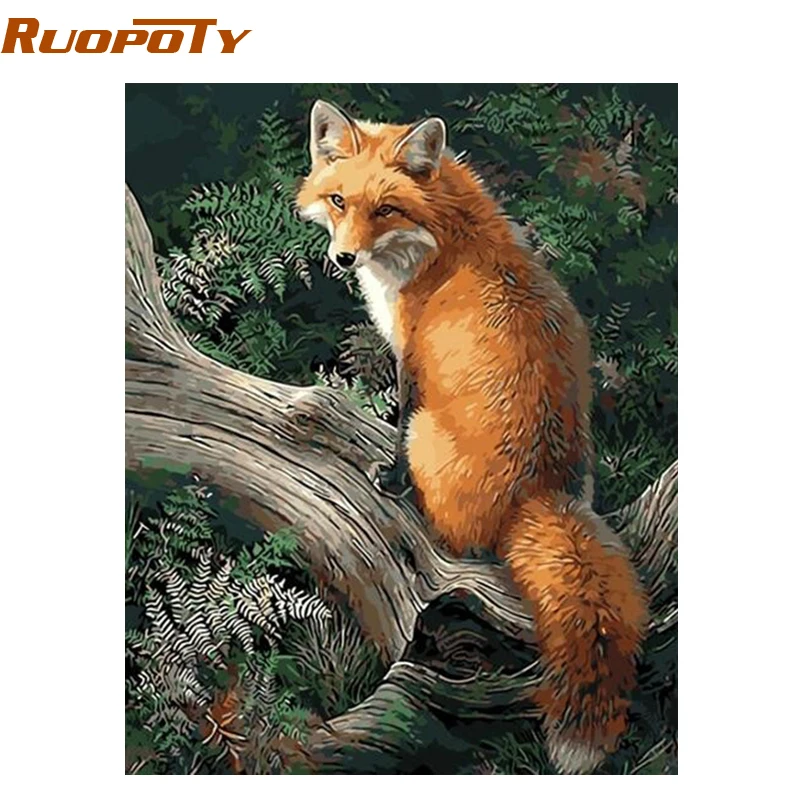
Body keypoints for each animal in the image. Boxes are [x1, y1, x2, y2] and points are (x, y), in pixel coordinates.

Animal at [296, 99, 649, 774]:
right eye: (338, 201)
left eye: (385, 209)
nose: (343, 259)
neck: (445, 236)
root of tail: (539, 494)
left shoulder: (410, 356)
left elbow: (397, 420)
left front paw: (389, 477)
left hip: (430, 437)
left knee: (453, 534)